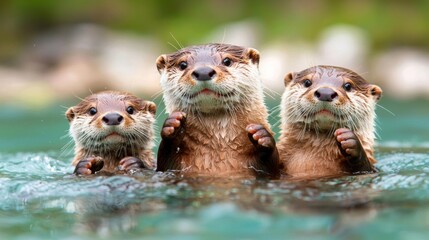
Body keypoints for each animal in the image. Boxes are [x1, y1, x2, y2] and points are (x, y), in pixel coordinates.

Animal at [155, 43, 280, 178]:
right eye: (183, 64)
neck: (218, 149)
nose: (203, 72)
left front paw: (262, 136)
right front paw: (173, 126)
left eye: (227, 61)